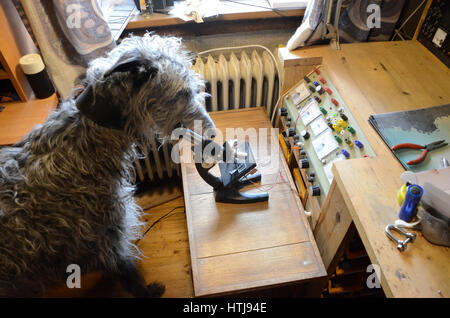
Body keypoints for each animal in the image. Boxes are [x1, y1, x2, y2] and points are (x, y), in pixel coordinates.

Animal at [0, 33, 216, 296]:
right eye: (182, 93)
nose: (213, 132)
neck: (83, 141)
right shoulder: (107, 236)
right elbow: (127, 271)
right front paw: (148, 291)